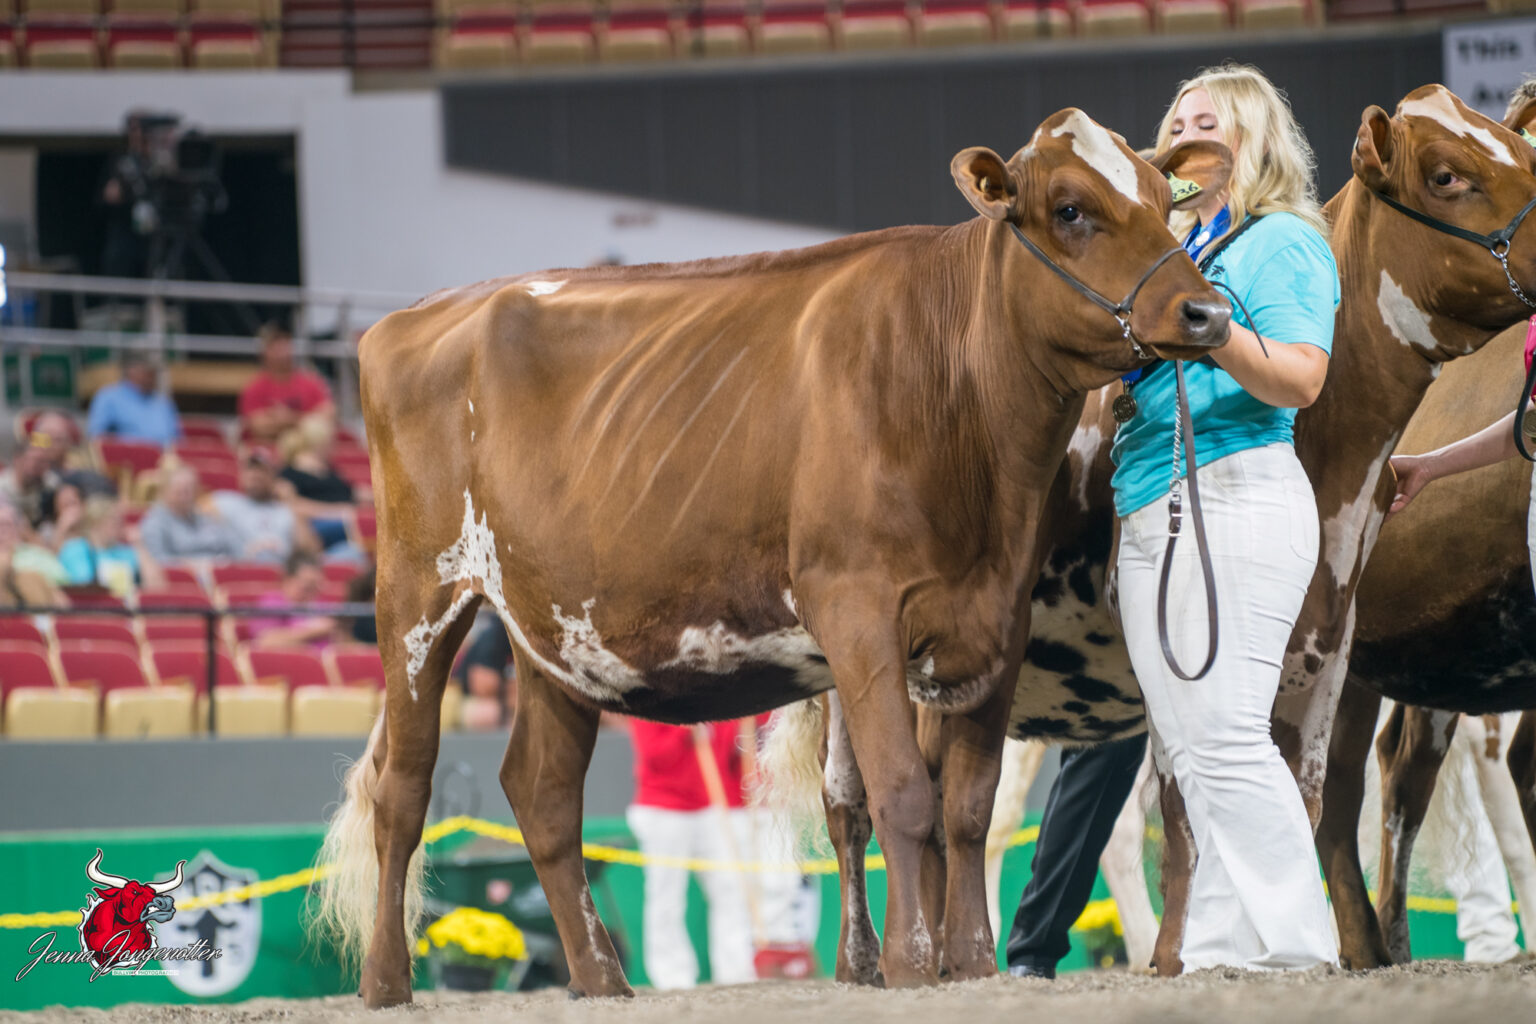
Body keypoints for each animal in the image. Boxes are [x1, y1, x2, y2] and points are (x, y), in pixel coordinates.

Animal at [311, 109, 1236, 1007]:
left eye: (1167, 199)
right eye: (1071, 208)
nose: (1208, 314)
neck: (958, 399)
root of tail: (425, 311)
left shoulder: (993, 621)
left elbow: (967, 808)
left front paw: (972, 964)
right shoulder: (858, 613)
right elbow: (906, 796)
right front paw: (911, 964)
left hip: (556, 634)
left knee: (541, 793)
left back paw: (603, 980)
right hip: (417, 595)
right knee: (403, 787)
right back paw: (387, 983)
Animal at [773, 84, 1536, 980]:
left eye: (1524, 153)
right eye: (1447, 174)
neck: (1344, 466)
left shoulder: (1330, 640)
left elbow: (1305, 795)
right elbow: (1183, 807)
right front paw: (1179, 955)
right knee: (857, 800)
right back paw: (874, 958)